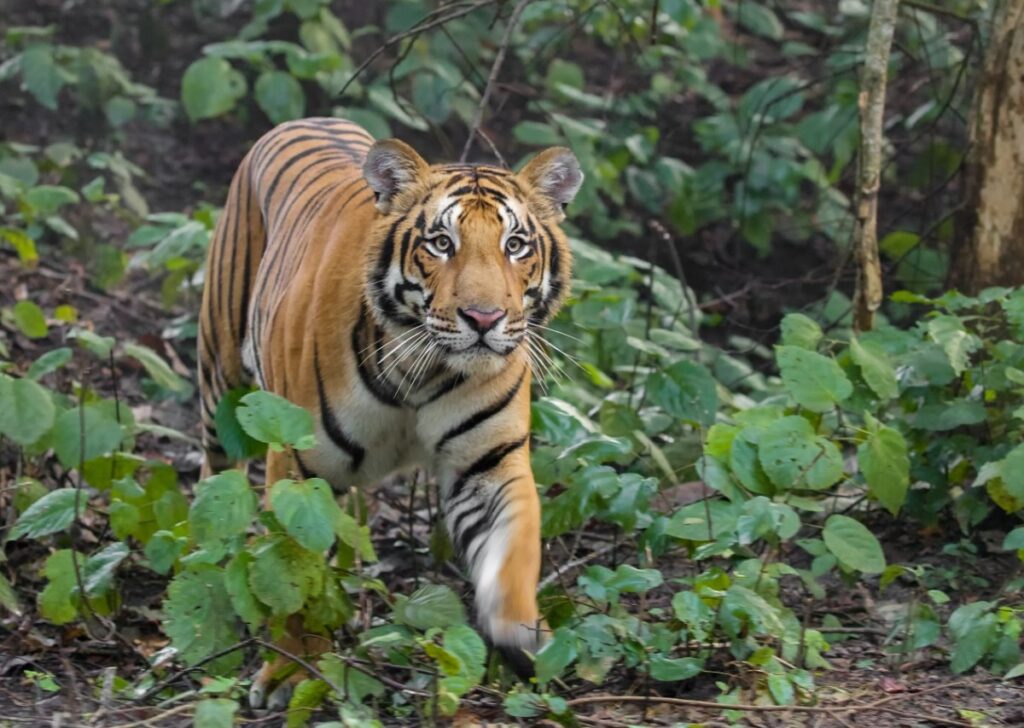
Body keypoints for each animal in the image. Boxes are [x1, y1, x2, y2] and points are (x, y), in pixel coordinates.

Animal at [197, 117, 582, 708]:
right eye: (441, 243)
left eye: (515, 245)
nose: (484, 318)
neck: (424, 373)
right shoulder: (294, 460)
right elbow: (293, 566)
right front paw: (294, 672)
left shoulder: (489, 463)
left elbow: (514, 548)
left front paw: (521, 637)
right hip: (220, 378)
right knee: (213, 472)